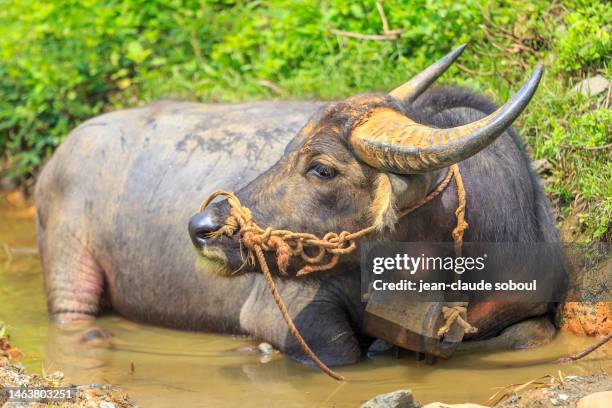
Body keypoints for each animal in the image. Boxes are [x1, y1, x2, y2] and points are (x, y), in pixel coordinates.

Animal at [37, 46, 564, 364]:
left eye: (322, 169)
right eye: (287, 148)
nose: (203, 226)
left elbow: (533, 334)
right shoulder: (285, 313)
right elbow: (342, 350)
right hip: (66, 263)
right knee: (72, 312)